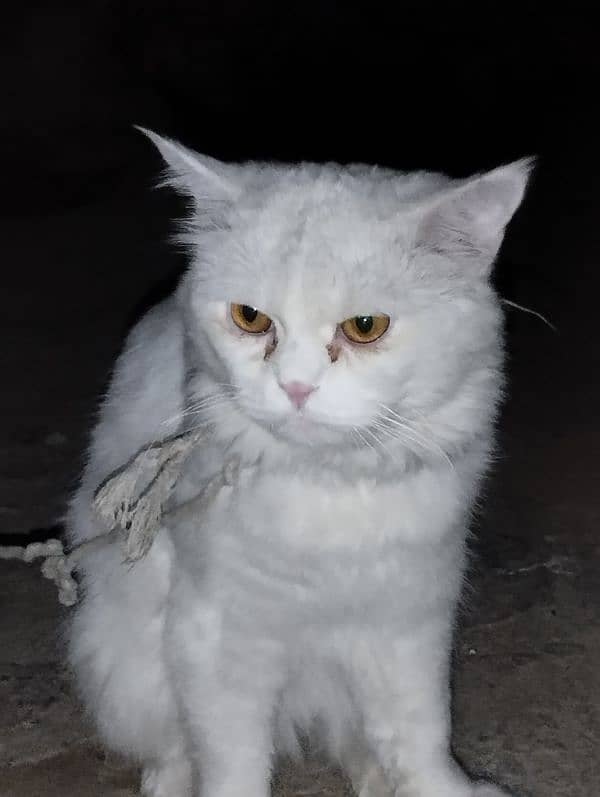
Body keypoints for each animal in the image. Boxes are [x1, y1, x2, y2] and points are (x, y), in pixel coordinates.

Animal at [68, 127, 532, 792]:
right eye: (250, 319)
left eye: (365, 327)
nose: (295, 388)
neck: (329, 487)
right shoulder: (218, 638)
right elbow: (232, 763)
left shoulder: (411, 622)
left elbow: (422, 736)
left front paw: (444, 788)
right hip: (125, 664)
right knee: (172, 748)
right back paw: (168, 782)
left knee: (357, 739)